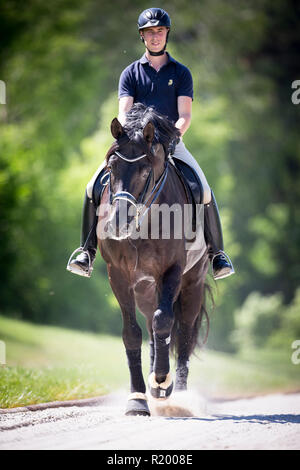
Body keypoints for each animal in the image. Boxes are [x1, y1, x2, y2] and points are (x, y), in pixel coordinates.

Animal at [97, 103, 210, 414]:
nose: (117, 224)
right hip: (146, 288)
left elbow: (164, 322)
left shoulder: (173, 270)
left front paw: (162, 380)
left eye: (145, 169)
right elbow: (132, 333)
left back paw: (177, 392)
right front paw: (137, 398)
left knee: (182, 333)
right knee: (151, 326)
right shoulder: (118, 275)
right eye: (111, 167)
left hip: (192, 283)